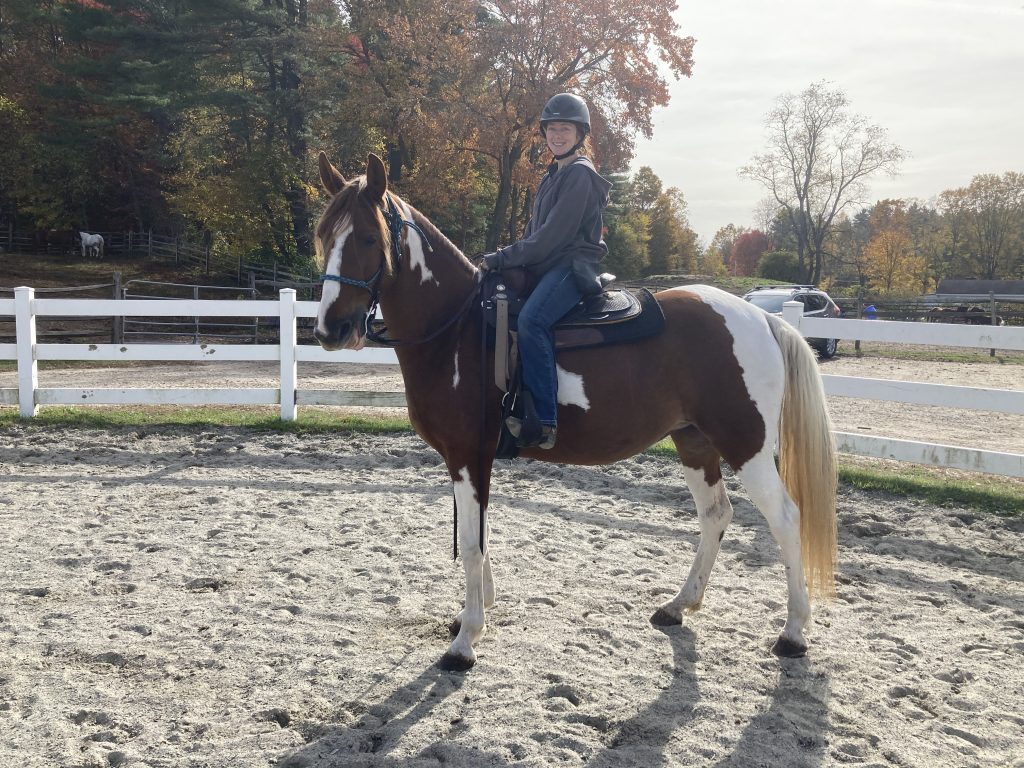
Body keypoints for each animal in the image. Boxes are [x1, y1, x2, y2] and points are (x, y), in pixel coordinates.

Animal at [312, 152, 838, 671]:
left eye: (367, 237)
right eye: (323, 236)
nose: (330, 329)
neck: (457, 330)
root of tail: (763, 318)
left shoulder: (465, 455)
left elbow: (472, 544)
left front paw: (466, 641)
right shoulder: (473, 459)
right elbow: (481, 534)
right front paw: (474, 615)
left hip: (745, 444)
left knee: (785, 518)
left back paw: (794, 632)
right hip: (694, 441)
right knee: (715, 514)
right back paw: (678, 605)